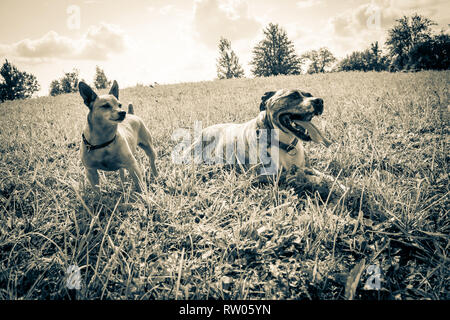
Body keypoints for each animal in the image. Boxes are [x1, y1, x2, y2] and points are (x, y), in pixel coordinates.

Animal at [183, 87, 344, 190]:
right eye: (293, 96)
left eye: (310, 94)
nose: (319, 101)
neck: (284, 144)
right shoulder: (265, 176)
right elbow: (297, 176)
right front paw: (318, 182)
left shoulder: (307, 167)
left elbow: (327, 176)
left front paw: (338, 184)